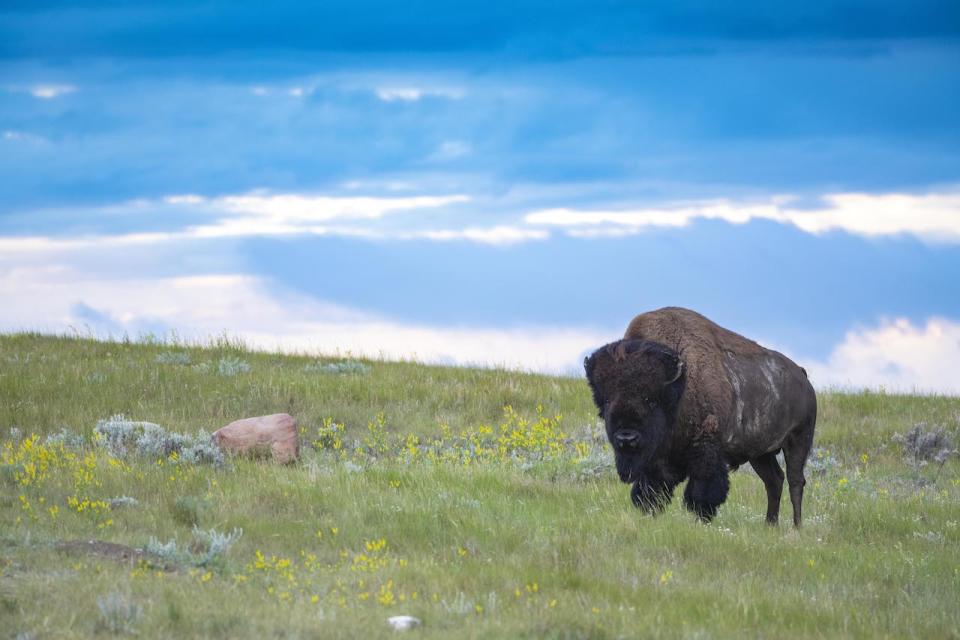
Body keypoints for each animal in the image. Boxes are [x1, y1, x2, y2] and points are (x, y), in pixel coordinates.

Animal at [584, 306, 816, 524]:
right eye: (607, 400)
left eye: (651, 400)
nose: (627, 438)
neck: (680, 384)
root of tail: (803, 376)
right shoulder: (656, 460)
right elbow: (651, 491)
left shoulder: (706, 449)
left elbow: (702, 491)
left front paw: (701, 519)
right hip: (760, 454)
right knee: (774, 480)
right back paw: (770, 525)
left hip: (798, 440)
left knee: (795, 481)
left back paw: (796, 527)